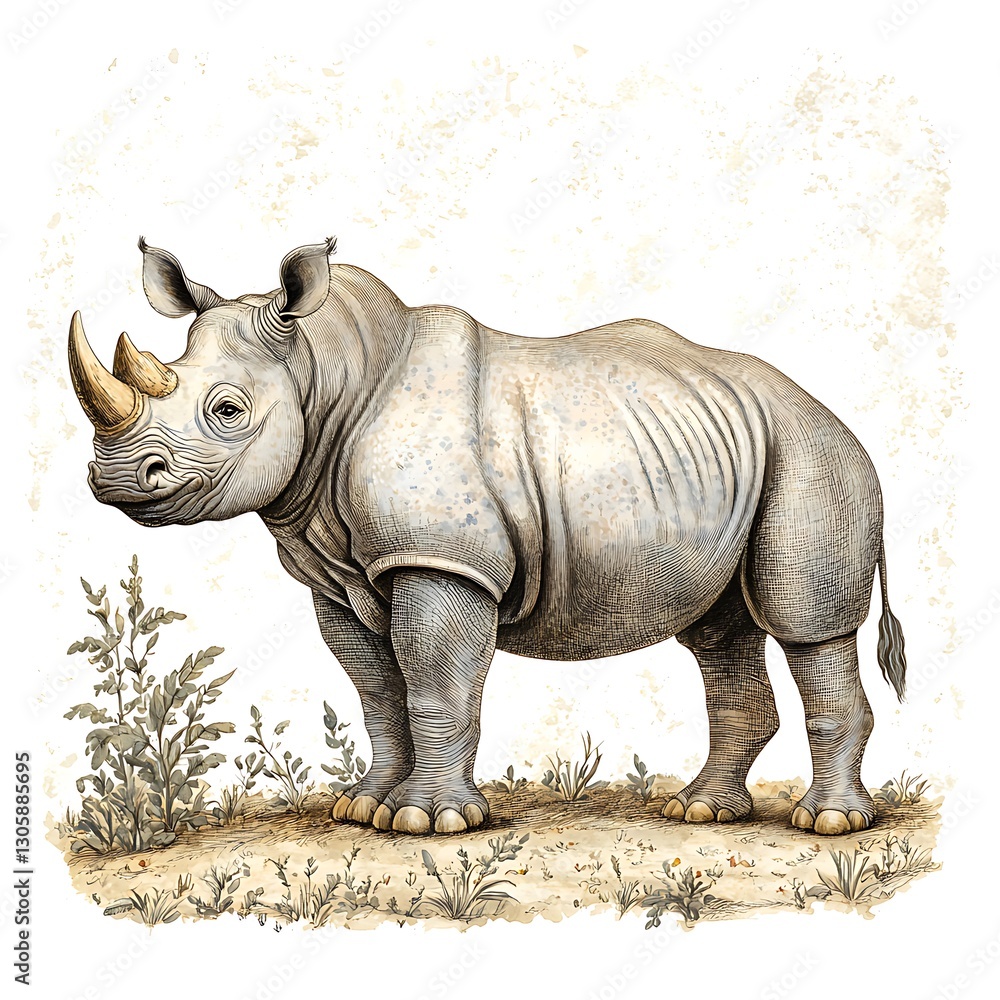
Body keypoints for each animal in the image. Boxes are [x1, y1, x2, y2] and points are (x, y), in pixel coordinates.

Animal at [68, 237, 906, 837]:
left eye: (228, 411)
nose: (115, 476)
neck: (324, 376)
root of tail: (837, 420)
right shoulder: (338, 575)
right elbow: (378, 689)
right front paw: (363, 808)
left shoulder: (444, 560)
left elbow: (435, 682)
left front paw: (426, 821)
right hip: (729, 458)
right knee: (719, 636)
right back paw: (697, 812)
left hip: (813, 457)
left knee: (806, 626)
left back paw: (828, 825)